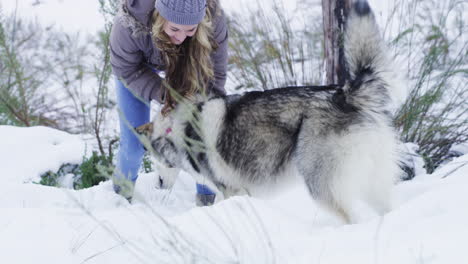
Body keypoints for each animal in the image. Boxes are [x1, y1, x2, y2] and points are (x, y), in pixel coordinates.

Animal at [139, 0, 406, 223]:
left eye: (152, 158)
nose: (158, 185)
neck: (180, 129)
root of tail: (346, 94)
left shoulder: (233, 191)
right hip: (373, 182)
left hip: (321, 185)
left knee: (351, 218)